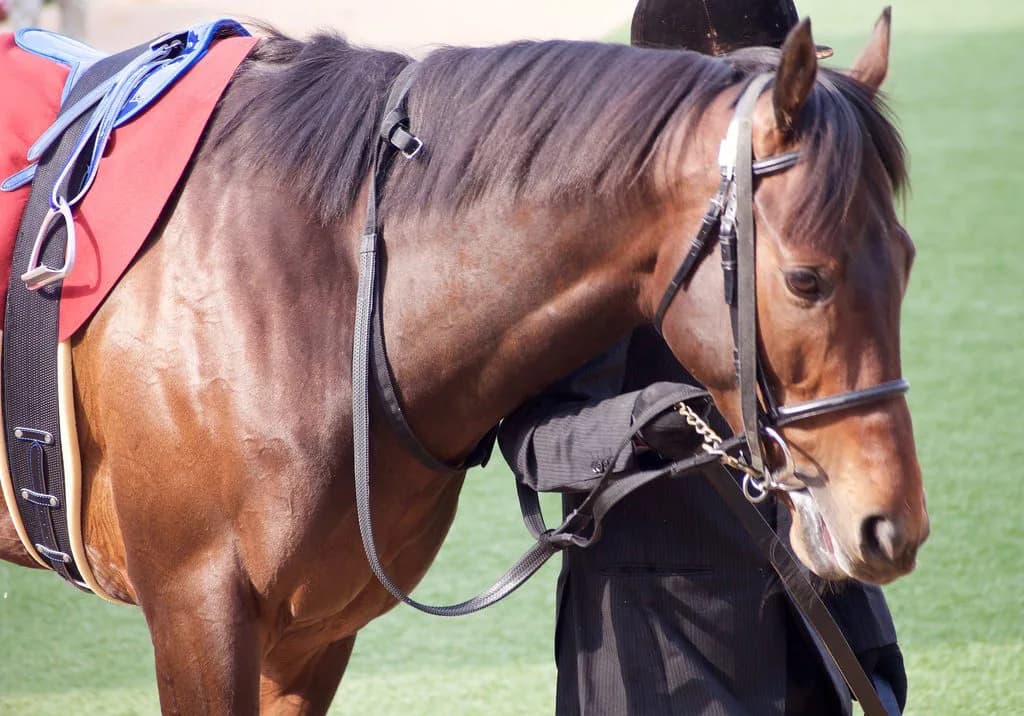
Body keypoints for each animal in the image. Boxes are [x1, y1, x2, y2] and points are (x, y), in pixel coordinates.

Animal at [0, 11, 928, 713]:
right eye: (807, 279)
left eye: (908, 258)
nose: (890, 526)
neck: (322, 288)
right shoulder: (199, 612)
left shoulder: (311, 632)